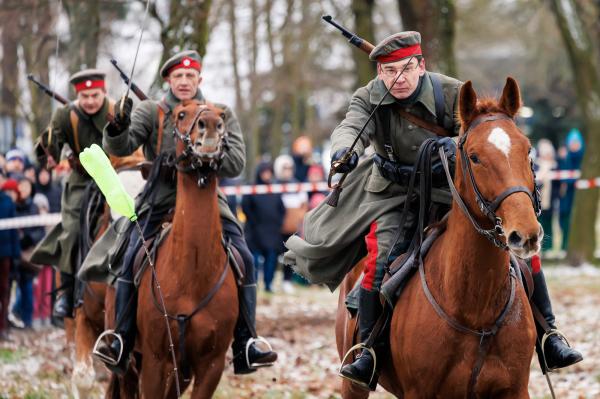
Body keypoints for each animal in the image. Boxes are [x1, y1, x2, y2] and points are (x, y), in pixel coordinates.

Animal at [129, 101, 239, 398]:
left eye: (222, 115)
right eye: (181, 114)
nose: (211, 124)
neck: (192, 273)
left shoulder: (210, 365)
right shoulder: (155, 362)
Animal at [338, 76, 540, 398]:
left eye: (528, 150)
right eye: (474, 157)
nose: (525, 234)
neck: (474, 309)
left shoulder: (516, 389)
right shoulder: (419, 392)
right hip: (352, 384)